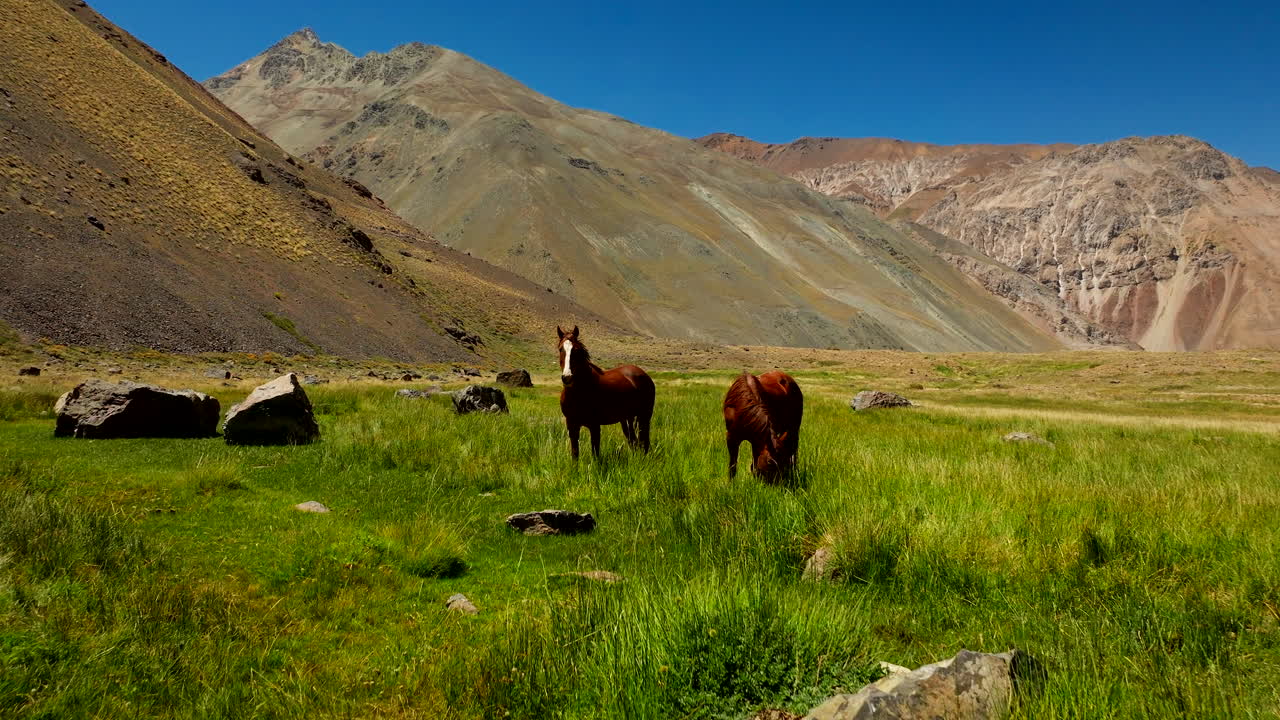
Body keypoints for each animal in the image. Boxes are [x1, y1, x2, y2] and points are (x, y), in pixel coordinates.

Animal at [557, 325, 655, 460]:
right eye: (561, 349)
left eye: (576, 350)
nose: (567, 377)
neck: (578, 392)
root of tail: (644, 375)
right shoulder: (572, 425)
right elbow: (575, 454)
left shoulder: (594, 425)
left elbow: (595, 454)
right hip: (627, 419)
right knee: (633, 442)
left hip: (644, 417)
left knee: (645, 442)